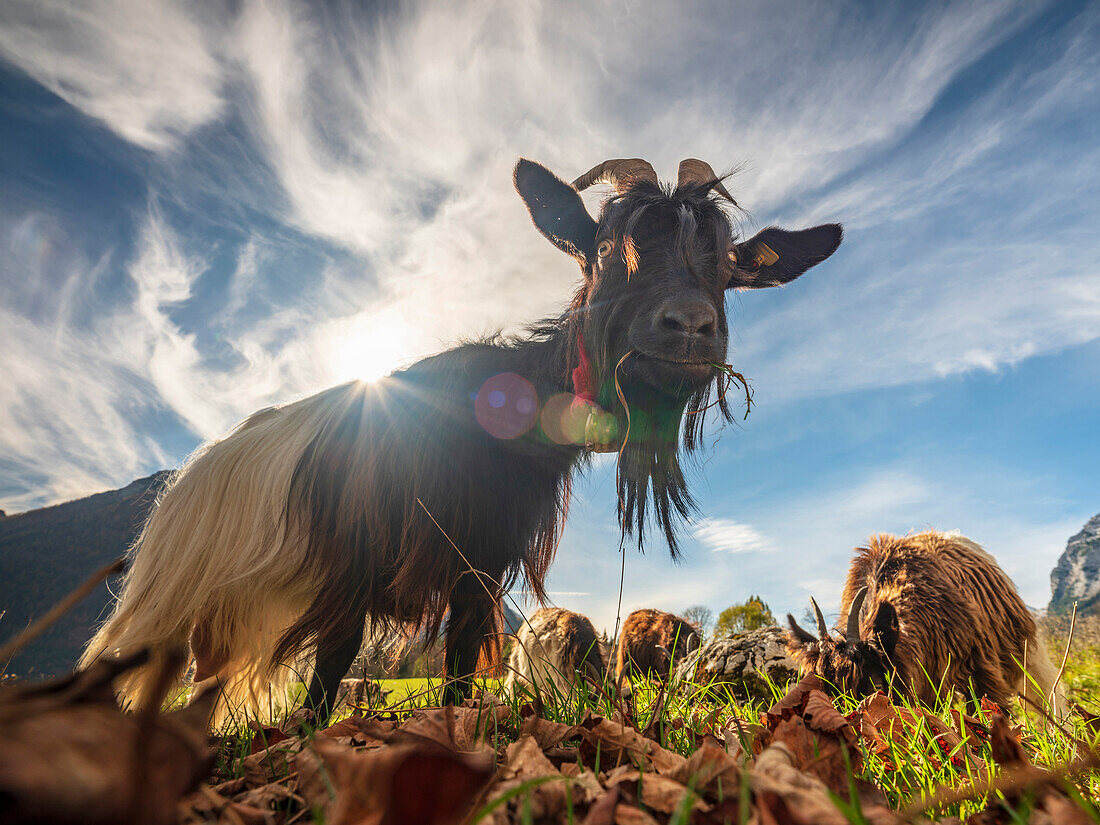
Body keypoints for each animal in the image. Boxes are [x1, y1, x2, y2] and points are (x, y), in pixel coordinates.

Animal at [81, 156, 844, 721]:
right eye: (603, 249)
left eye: (727, 269)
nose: (687, 326)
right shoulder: (359, 561)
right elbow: (333, 667)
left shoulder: (481, 559)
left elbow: (459, 665)